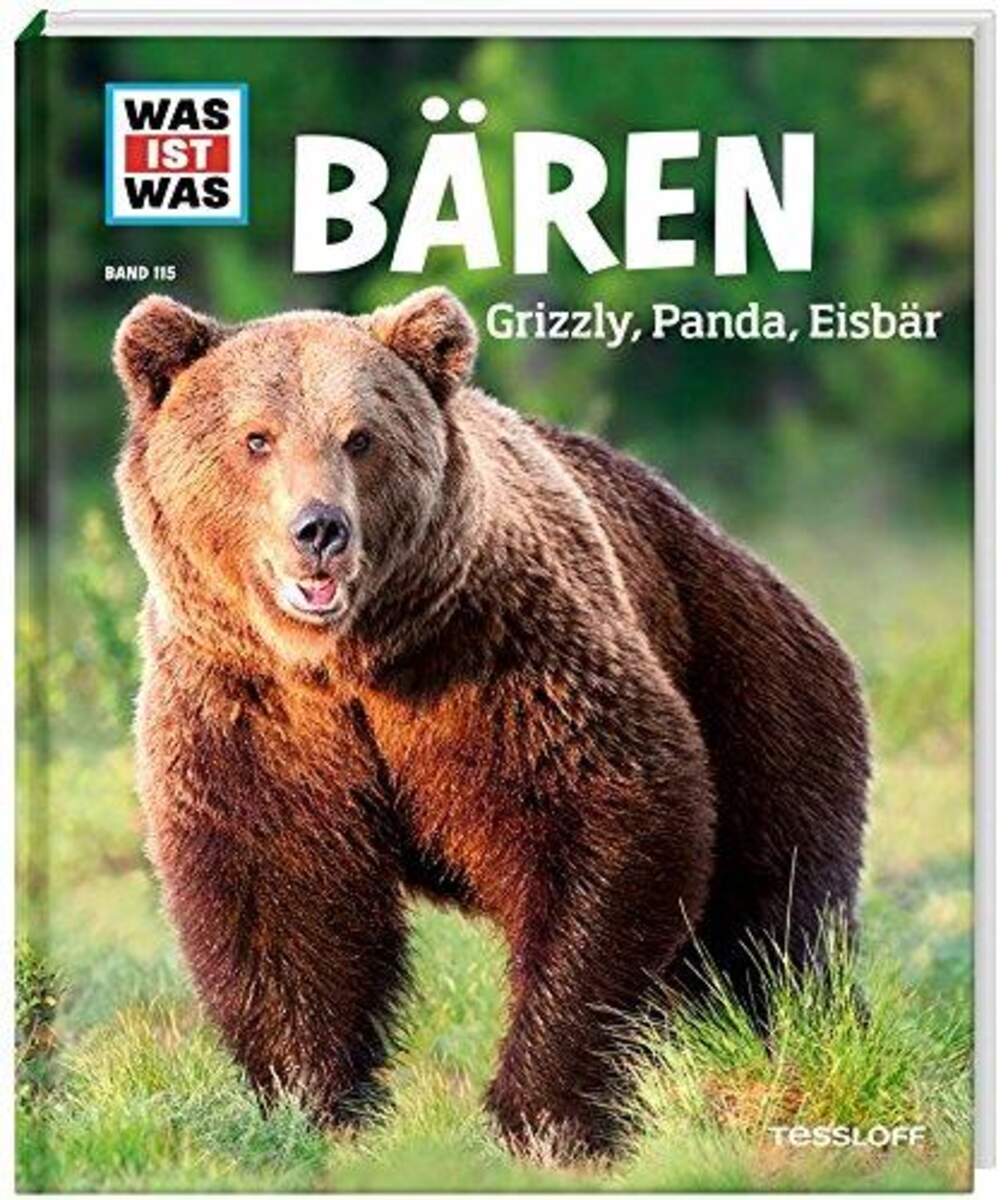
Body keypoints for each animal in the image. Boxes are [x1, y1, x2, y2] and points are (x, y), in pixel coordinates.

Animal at [113, 286, 870, 1160]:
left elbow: (603, 828)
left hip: (750, 680)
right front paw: (317, 1104)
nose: (319, 529)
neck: (350, 661)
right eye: (256, 438)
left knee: (775, 916)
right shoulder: (254, 706)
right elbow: (278, 886)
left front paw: (544, 1116)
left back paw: (807, 1039)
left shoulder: (502, 658)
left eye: (360, 437)